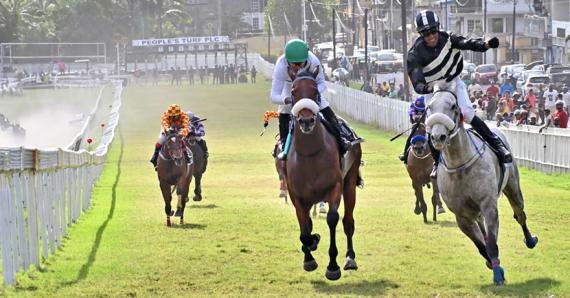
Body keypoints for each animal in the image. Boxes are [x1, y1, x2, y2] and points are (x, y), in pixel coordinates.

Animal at [284, 67, 360, 280]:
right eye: (293, 91)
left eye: (315, 90)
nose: (306, 120)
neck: (310, 154)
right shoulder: (297, 195)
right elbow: (304, 227)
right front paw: (309, 254)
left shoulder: (335, 187)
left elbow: (332, 219)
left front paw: (333, 266)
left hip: (350, 181)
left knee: (348, 221)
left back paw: (350, 258)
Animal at [426, 81, 536, 286]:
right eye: (429, 107)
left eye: (453, 106)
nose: (437, 137)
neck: (460, 164)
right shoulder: (461, 215)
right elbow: (480, 245)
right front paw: (492, 264)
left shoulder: (488, 204)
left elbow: (491, 242)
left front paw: (498, 274)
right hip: (474, 211)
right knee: (482, 226)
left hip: (513, 187)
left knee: (520, 214)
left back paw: (530, 239)